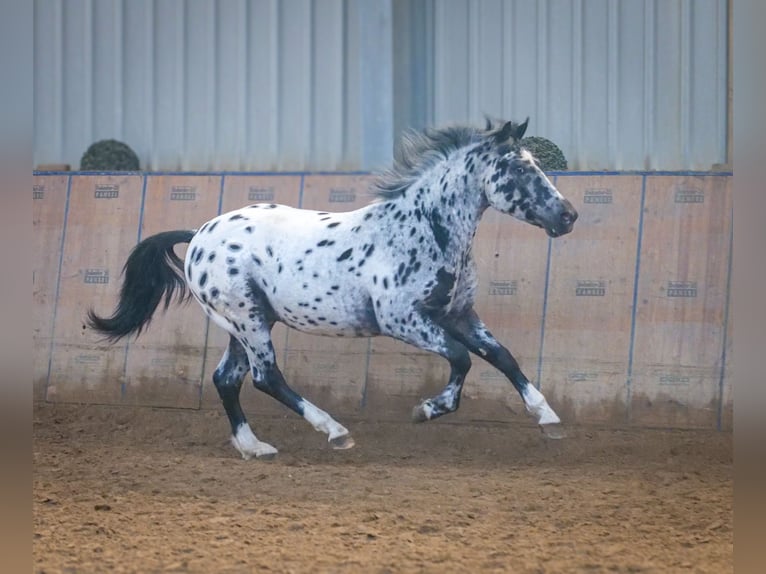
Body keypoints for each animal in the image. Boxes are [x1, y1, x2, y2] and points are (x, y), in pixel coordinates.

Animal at [87, 118, 580, 464]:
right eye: (520, 167)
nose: (569, 216)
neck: (424, 230)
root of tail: (199, 234)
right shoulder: (403, 320)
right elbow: (461, 360)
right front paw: (426, 409)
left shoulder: (459, 314)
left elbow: (502, 357)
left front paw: (549, 419)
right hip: (247, 319)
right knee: (266, 377)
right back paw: (335, 432)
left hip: (244, 323)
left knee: (227, 379)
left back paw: (254, 447)